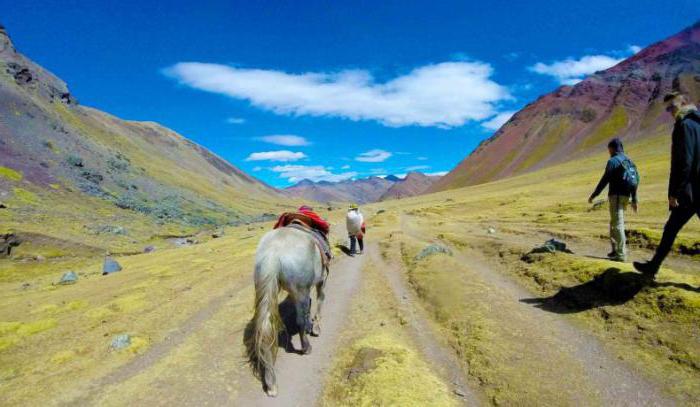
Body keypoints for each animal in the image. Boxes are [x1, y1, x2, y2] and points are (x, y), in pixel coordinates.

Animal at [252, 228, 328, 400]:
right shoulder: (322, 281)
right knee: (300, 320)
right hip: (301, 289)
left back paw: (271, 383)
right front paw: (316, 328)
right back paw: (306, 348)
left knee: (265, 329)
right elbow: (319, 301)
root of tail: (273, 252)